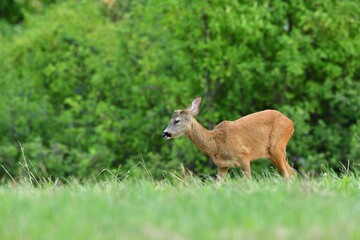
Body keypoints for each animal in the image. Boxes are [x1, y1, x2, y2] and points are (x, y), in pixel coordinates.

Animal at [162, 96, 296, 183]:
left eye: (176, 120)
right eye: (170, 120)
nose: (164, 133)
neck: (216, 144)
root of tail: (291, 122)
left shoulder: (244, 155)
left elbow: (248, 180)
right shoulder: (222, 166)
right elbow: (217, 185)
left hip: (276, 146)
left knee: (288, 174)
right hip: (271, 153)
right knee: (292, 172)